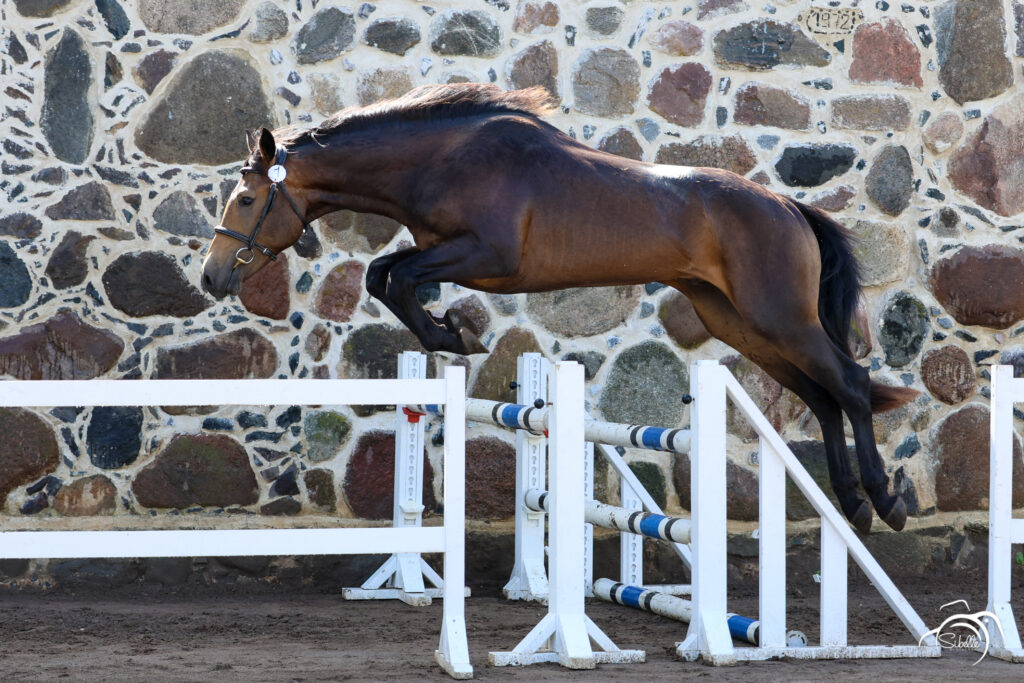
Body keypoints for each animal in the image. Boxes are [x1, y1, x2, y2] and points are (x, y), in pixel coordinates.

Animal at [201, 83, 917, 534]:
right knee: (824, 396)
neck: (441, 158)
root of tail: (789, 207)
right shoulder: (439, 251)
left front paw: (454, 335)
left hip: (779, 320)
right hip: (740, 322)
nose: (211, 277)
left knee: (851, 386)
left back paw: (883, 501)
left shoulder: (483, 256)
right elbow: (382, 276)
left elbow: (394, 278)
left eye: (246, 200)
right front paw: (449, 334)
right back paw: (852, 504)